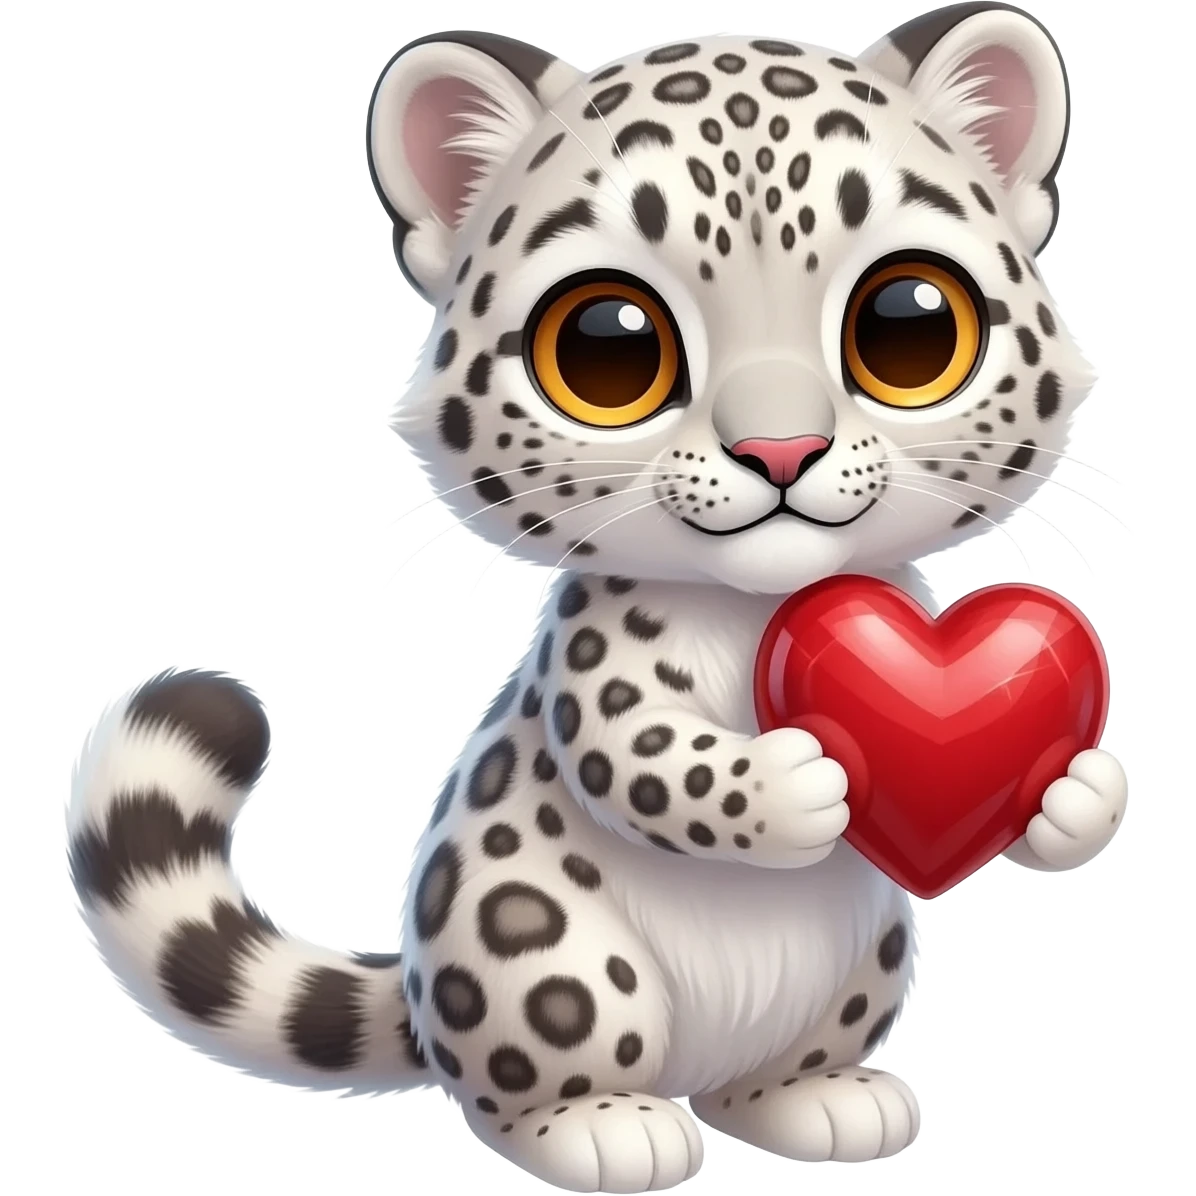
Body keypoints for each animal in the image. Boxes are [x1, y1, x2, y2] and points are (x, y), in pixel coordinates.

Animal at [65, 11, 1128, 1193]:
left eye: (911, 322)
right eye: (605, 344)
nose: (780, 450)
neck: (753, 612)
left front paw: (1079, 794)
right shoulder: (594, 676)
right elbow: (645, 762)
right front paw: (789, 782)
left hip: (866, 962)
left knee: (763, 1077)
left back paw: (816, 1099)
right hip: (545, 957)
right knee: (533, 1073)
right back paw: (604, 1124)